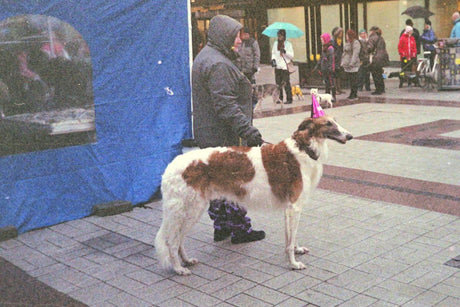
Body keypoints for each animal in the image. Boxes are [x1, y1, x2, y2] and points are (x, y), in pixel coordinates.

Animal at [155, 115, 352, 276]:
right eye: (328, 123)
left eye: (335, 121)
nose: (350, 136)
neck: (304, 148)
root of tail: (170, 166)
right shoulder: (294, 207)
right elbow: (290, 241)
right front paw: (294, 264)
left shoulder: (289, 208)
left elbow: (291, 237)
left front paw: (296, 251)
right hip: (188, 210)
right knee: (172, 241)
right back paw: (178, 268)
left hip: (191, 211)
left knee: (179, 240)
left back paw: (187, 261)